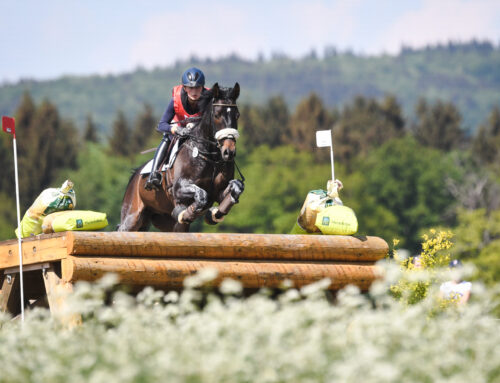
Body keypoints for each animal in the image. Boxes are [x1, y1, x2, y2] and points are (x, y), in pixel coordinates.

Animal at [115, 83, 244, 232]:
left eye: (237, 115)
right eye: (217, 115)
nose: (229, 152)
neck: (212, 159)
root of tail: (135, 175)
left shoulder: (219, 192)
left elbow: (236, 187)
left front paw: (213, 214)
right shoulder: (178, 189)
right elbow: (201, 195)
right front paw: (185, 213)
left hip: (161, 221)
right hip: (132, 217)